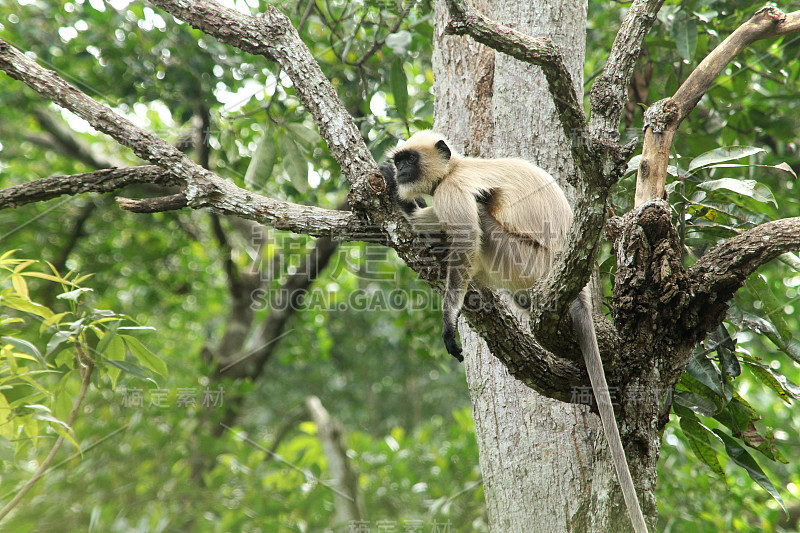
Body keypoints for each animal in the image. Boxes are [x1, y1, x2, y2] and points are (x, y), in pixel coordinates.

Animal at [382, 131, 648, 532]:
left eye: (409, 160)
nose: (400, 171)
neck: (456, 167)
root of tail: (581, 290)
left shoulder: (453, 189)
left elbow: (466, 239)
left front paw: (449, 320)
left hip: (522, 259)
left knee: (479, 222)